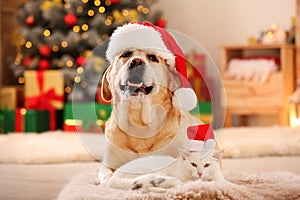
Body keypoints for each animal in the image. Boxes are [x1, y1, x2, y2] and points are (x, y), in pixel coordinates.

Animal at [98, 22, 202, 184]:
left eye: (153, 57)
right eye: (126, 54)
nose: (136, 62)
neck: (139, 124)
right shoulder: (108, 164)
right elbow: (106, 175)